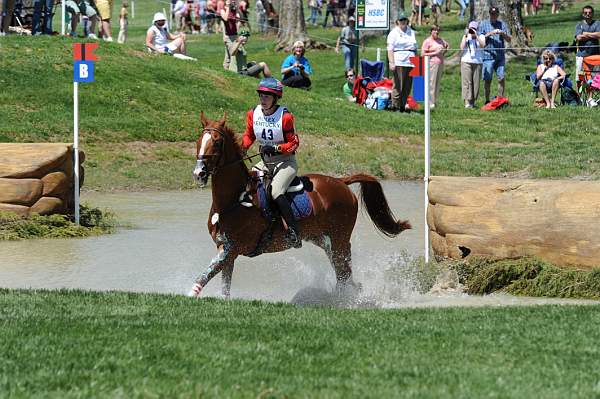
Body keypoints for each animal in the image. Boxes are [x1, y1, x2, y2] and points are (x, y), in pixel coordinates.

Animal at [190, 114, 410, 298]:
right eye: (199, 141)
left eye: (217, 142)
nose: (199, 173)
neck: (235, 199)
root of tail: (341, 181)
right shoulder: (226, 251)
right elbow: (223, 285)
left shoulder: (231, 249)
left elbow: (203, 276)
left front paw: (189, 296)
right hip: (323, 239)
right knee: (343, 271)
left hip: (339, 238)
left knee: (343, 272)